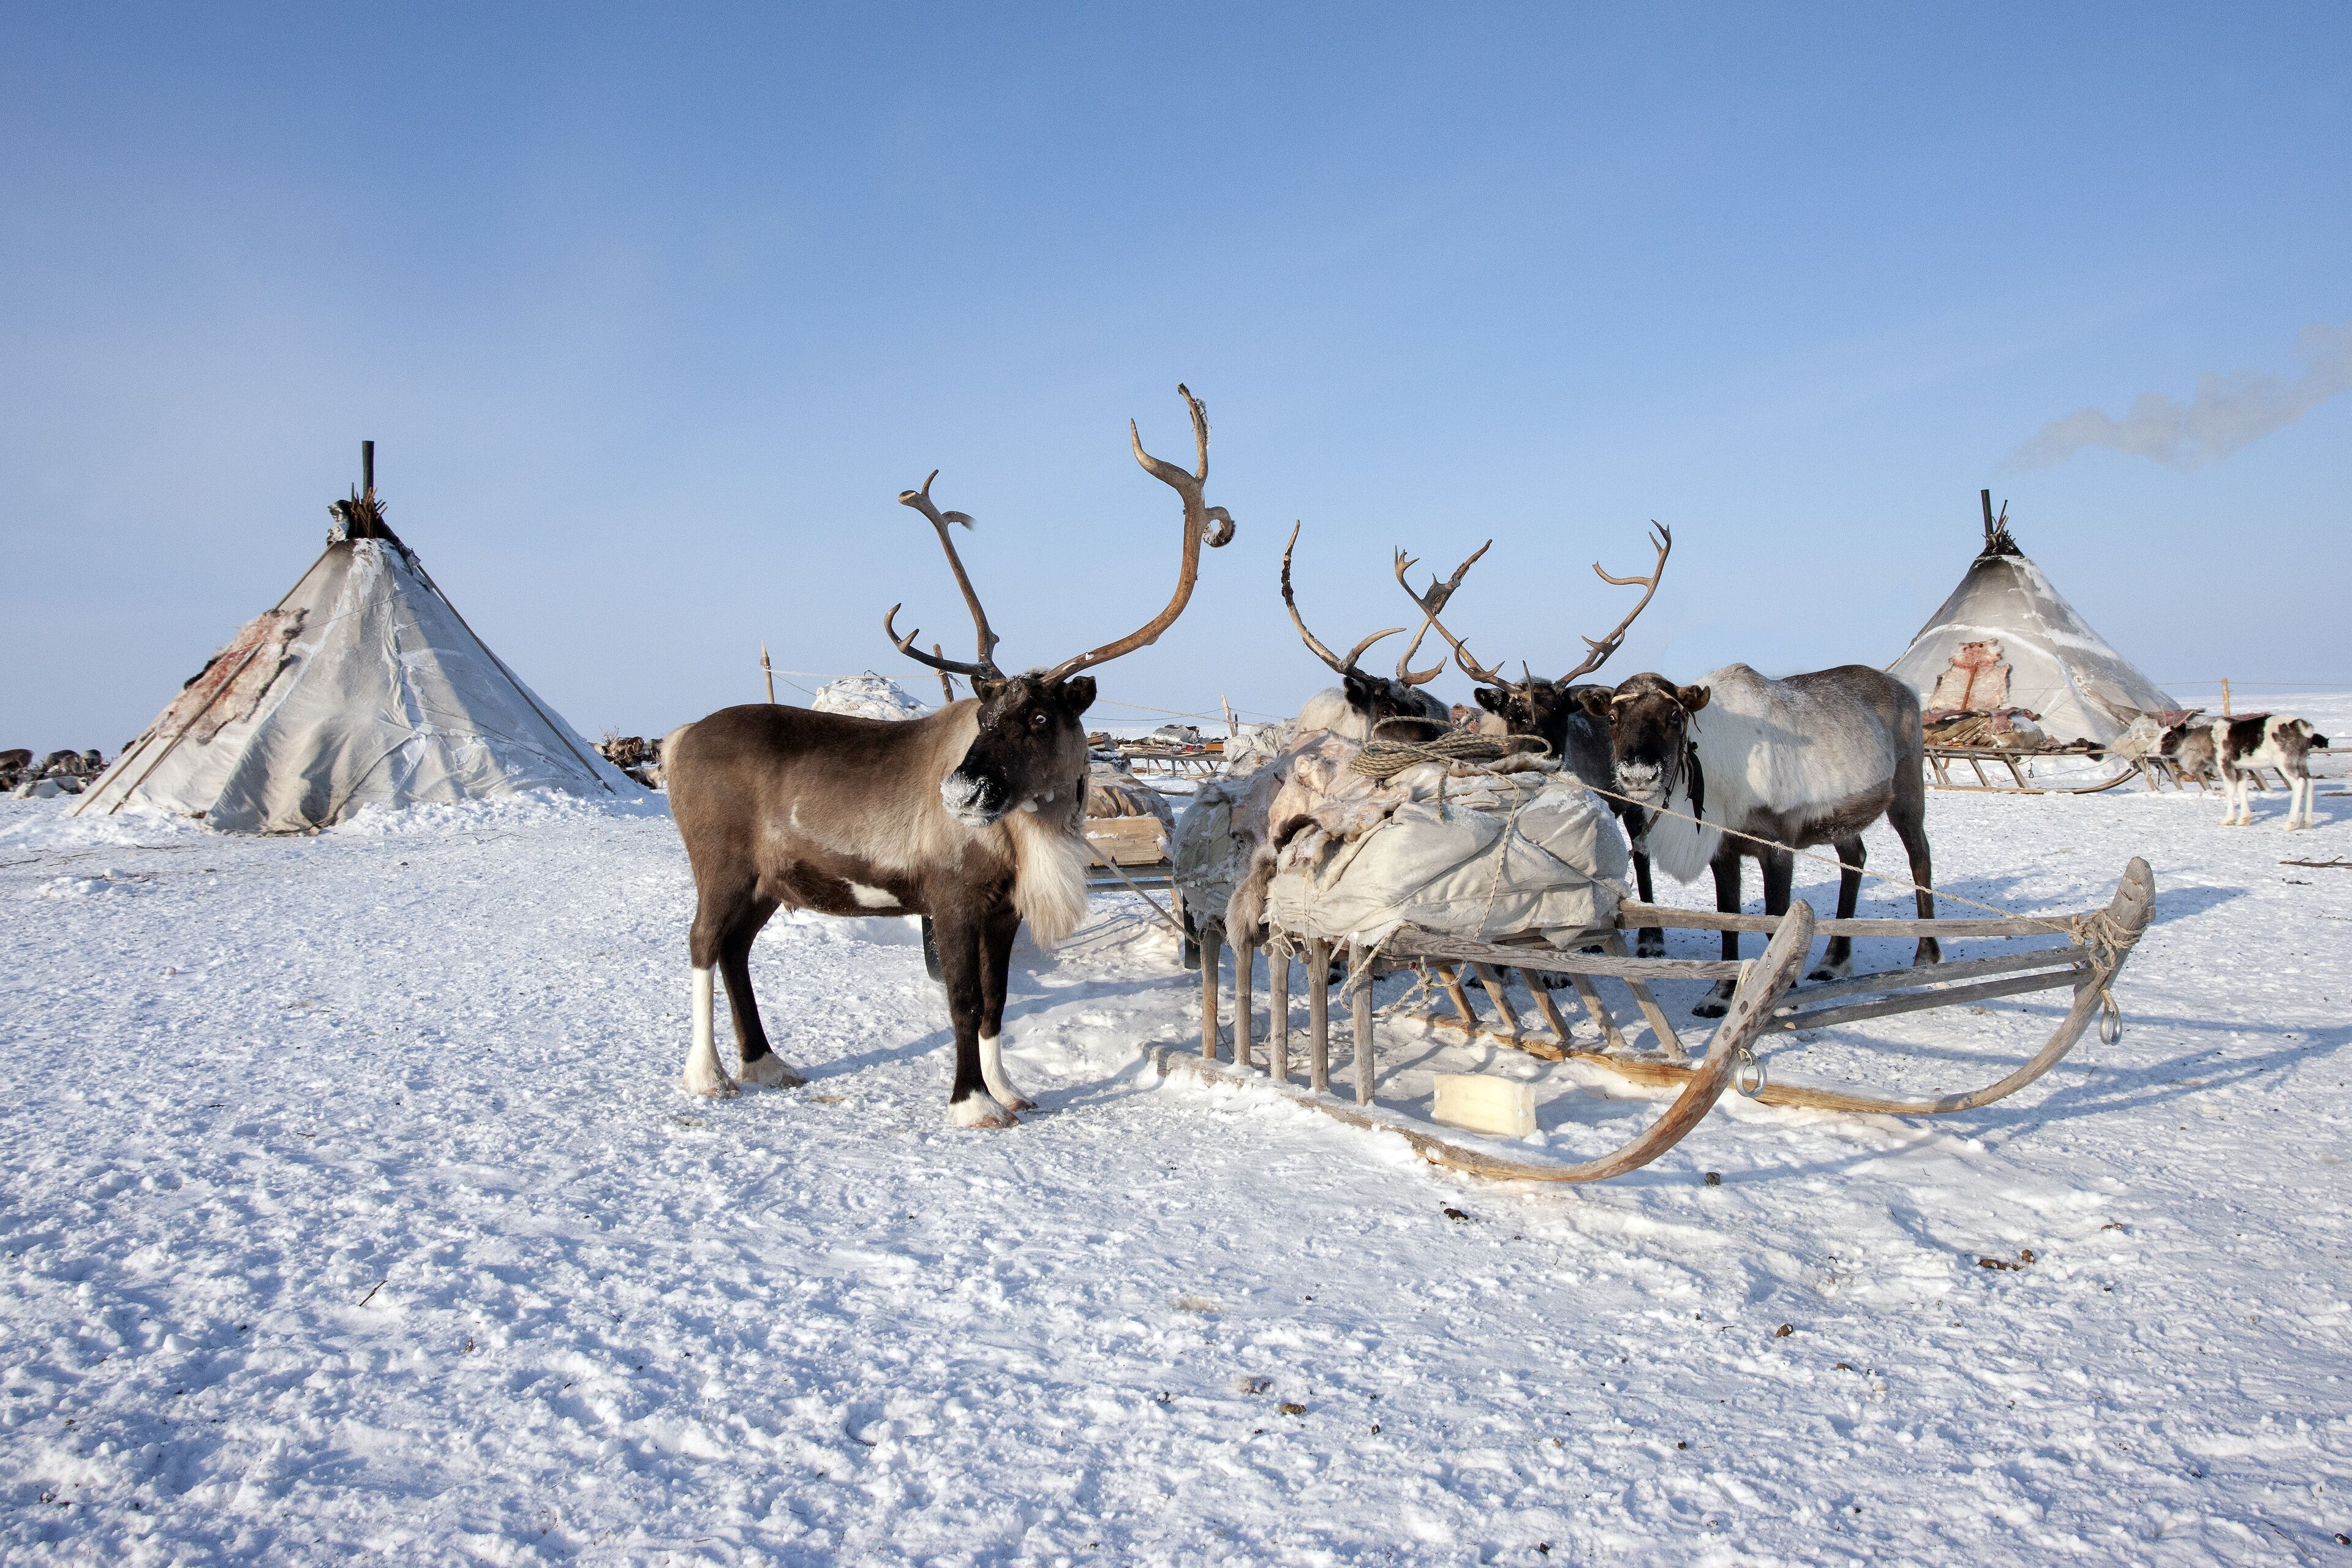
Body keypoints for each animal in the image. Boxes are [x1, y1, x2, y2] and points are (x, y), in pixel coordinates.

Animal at [663, 386, 1233, 1125]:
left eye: (1040, 716)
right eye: (986, 717)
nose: (959, 792)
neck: (1029, 836)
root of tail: (678, 739)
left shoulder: (1004, 910)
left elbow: (996, 1003)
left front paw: (1010, 1090)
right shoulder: (951, 899)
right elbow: (963, 1000)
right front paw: (971, 1102)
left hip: (767, 881)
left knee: (735, 949)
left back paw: (766, 1063)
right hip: (721, 865)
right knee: (703, 942)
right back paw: (706, 1074)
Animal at [1395, 525, 1675, 956]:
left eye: (1559, 713)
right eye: (1514, 715)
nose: (1544, 755)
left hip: (1632, 794)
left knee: (1641, 854)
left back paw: (1650, 939)